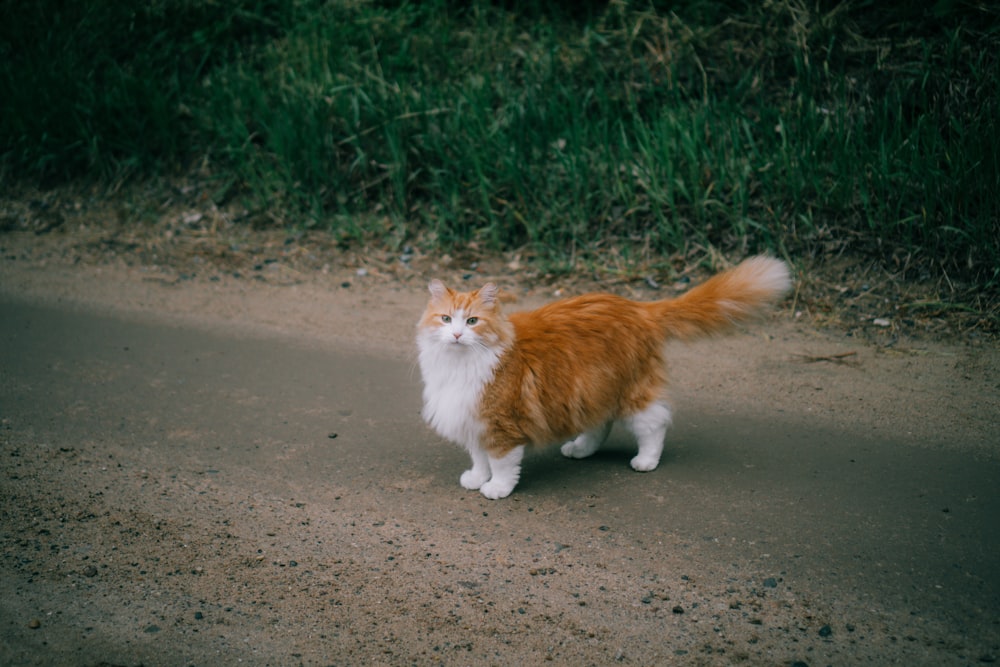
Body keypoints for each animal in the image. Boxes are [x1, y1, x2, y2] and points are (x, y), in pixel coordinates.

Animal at [414, 256, 788, 500]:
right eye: (446, 319)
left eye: (472, 321)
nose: (457, 335)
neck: (462, 364)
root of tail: (638, 307)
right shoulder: (472, 419)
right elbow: (479, 458)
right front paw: (477, 479)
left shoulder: (500, 424)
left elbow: (502, 463)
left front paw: (497, 488)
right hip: (588, 390)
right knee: (600, 425)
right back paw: (580, 449)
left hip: (631, 393)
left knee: (654, 425)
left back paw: (646, 461)